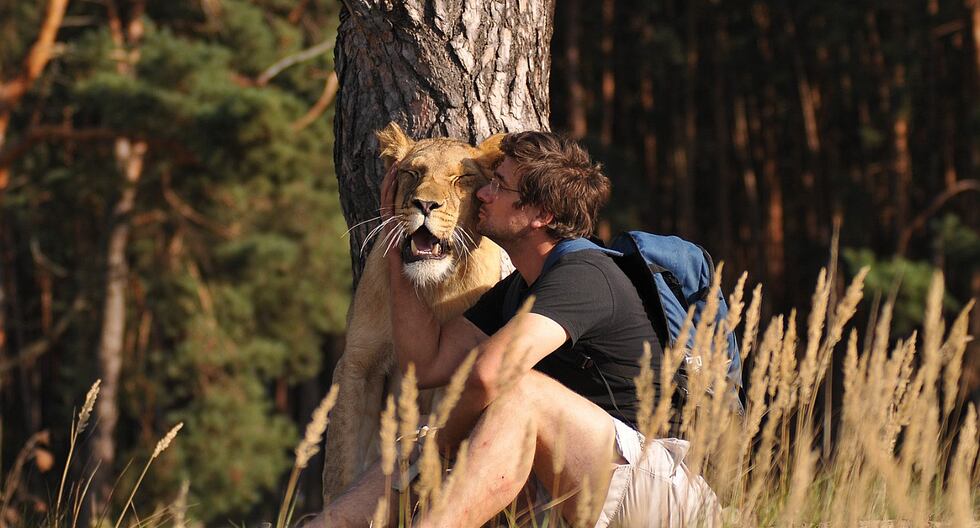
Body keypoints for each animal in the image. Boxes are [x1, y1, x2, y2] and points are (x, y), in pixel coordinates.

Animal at [322, 122, 506, 501]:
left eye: (462, 178)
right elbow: (341, 461)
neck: (429, 288)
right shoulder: (358, 362)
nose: (425, 204)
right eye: (412, 173)